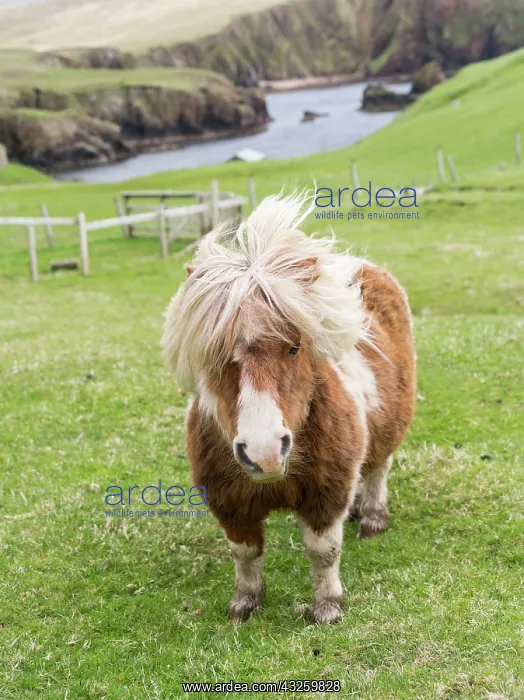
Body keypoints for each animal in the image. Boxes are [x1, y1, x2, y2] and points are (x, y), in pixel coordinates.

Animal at [162, 193, 416, 624]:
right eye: (214, 355)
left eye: (294, 347)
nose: (263, 452)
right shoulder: (229, 502)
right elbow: (245, 553)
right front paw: (245, 603)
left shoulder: (325, 492)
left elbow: (323, 552)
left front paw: (328, 608)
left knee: (378, 468)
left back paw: (372, 518)